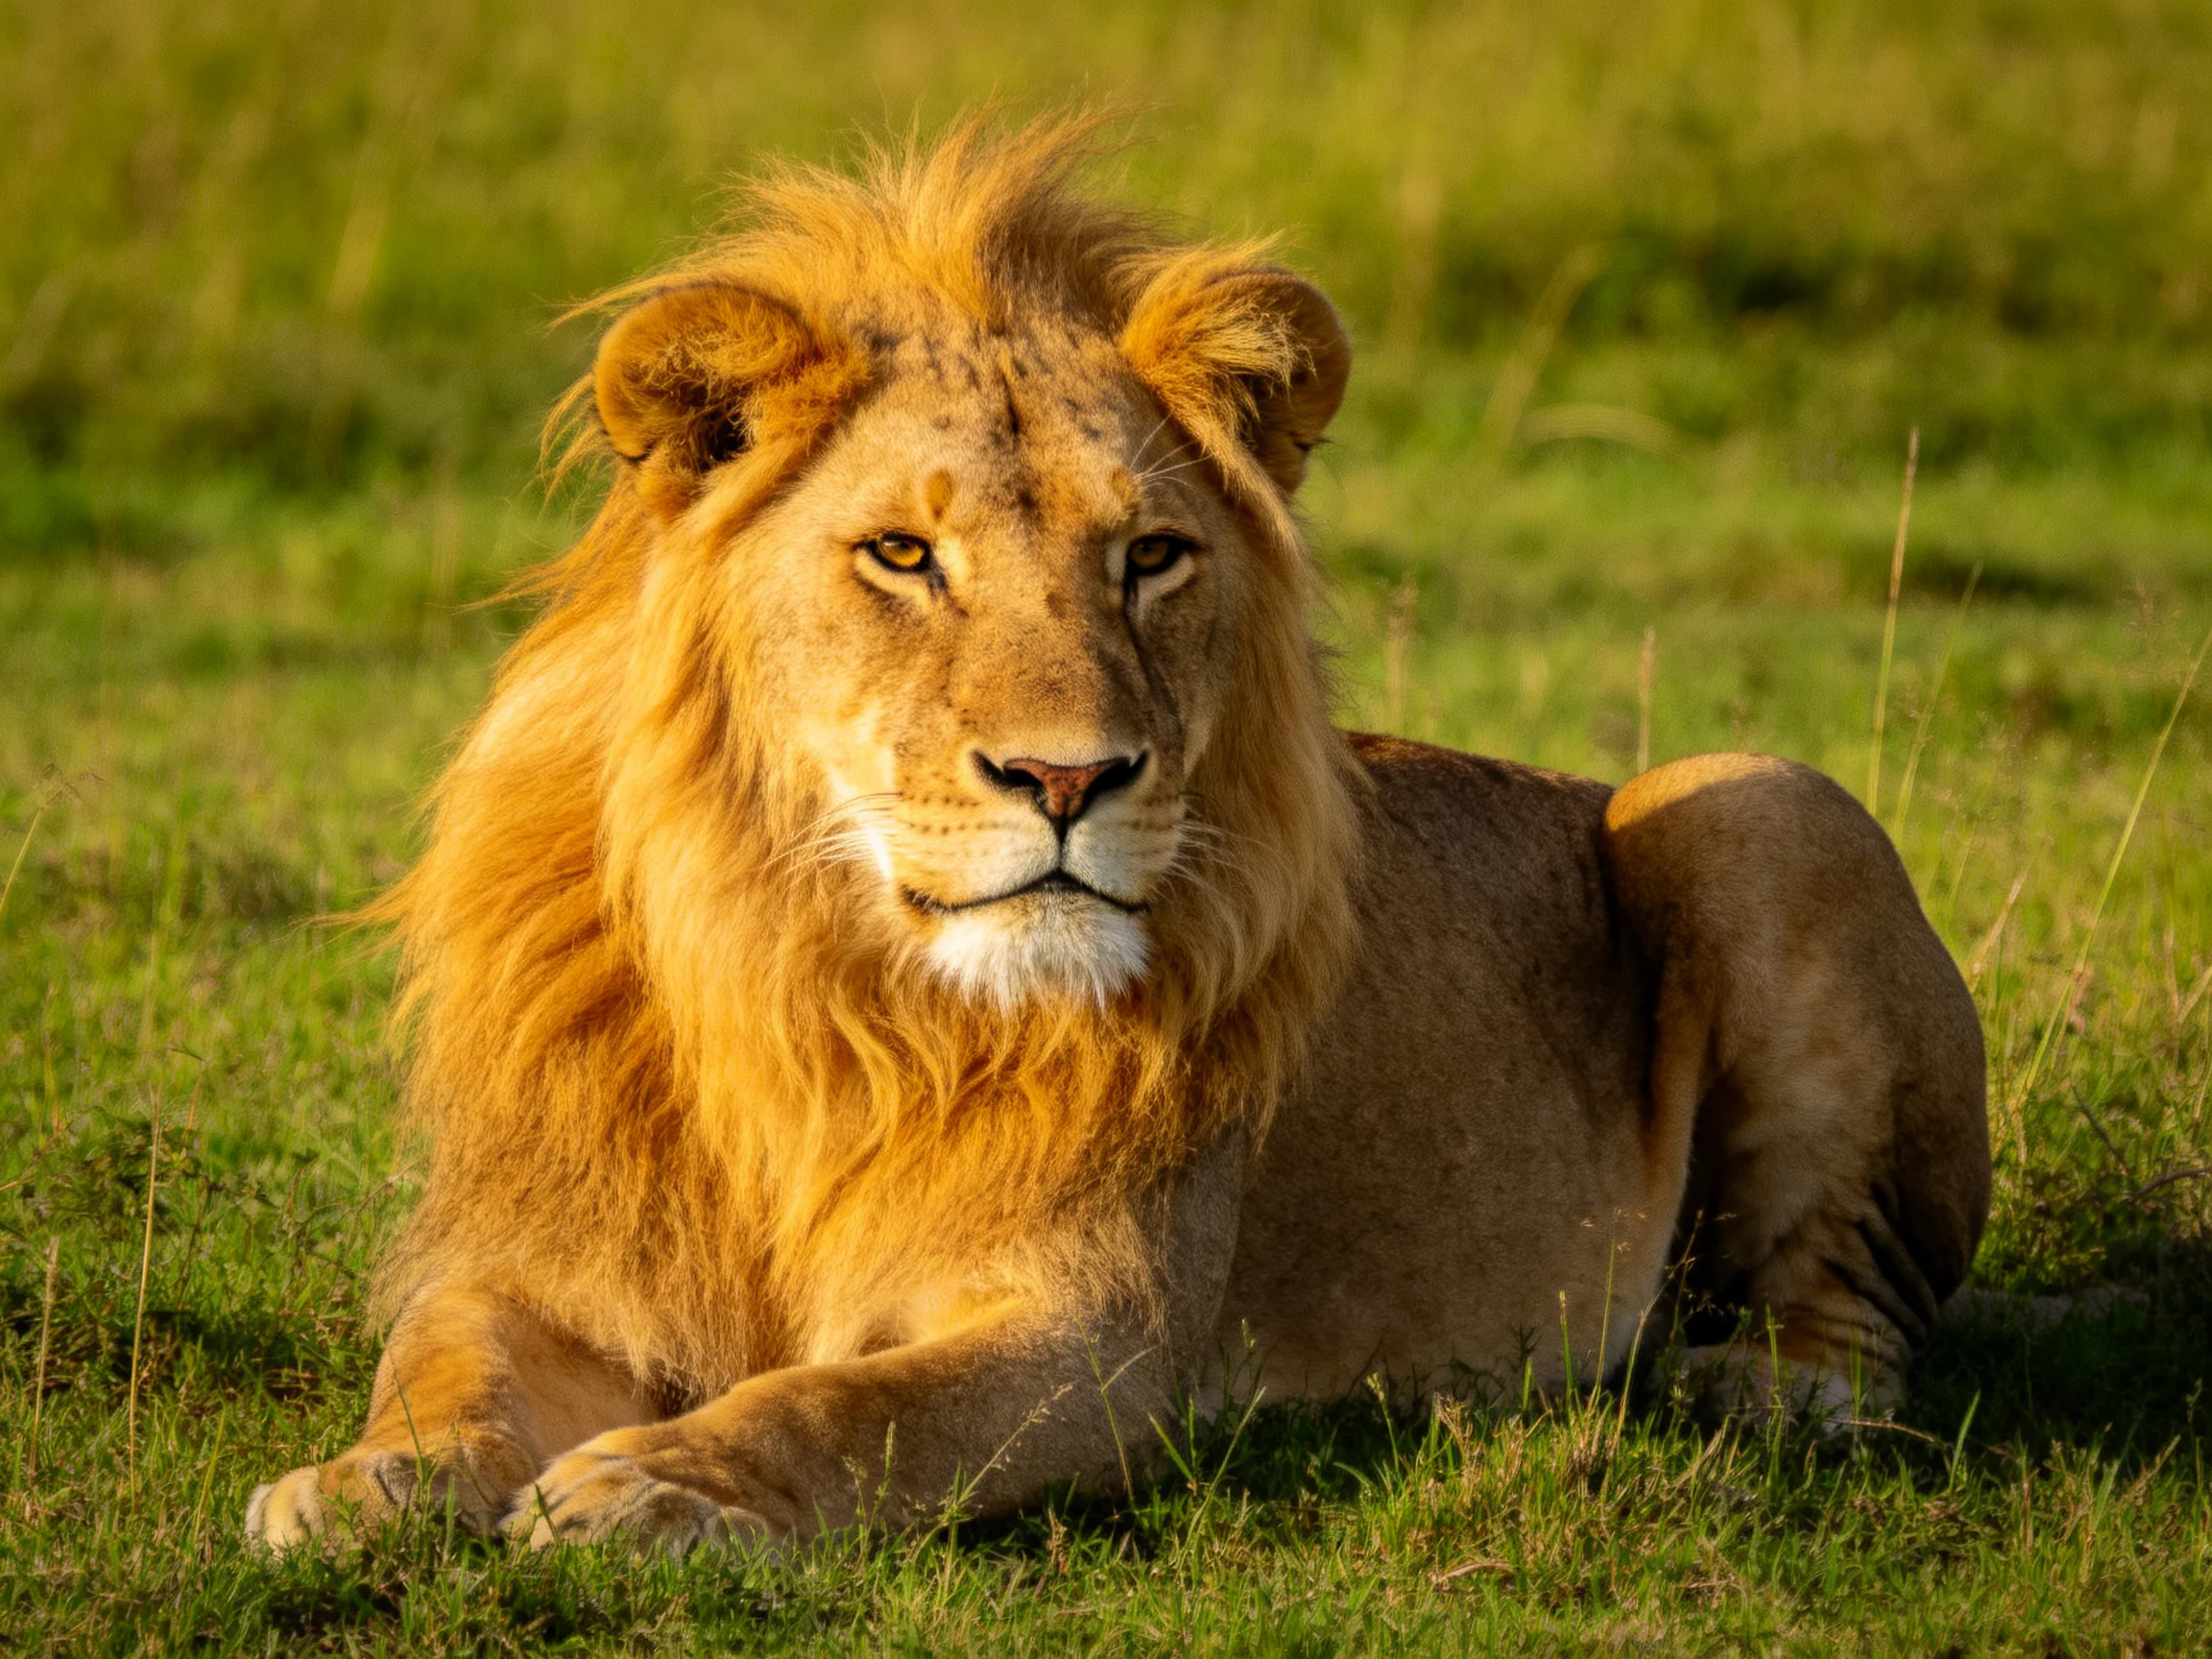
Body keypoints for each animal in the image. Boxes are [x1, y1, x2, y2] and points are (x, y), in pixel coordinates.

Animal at [247, 116, 1990, 1554]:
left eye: (1151, 554)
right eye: (902, 554)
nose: (1069, 777)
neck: (804, 973)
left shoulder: (1099, 1327)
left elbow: (849, 1407)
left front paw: (667, 1481)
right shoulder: (543, 1257)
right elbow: (444, 1363)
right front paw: (365, 1482)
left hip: (1759, 798)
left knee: (1866, 1315)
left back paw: (1742, 1390)